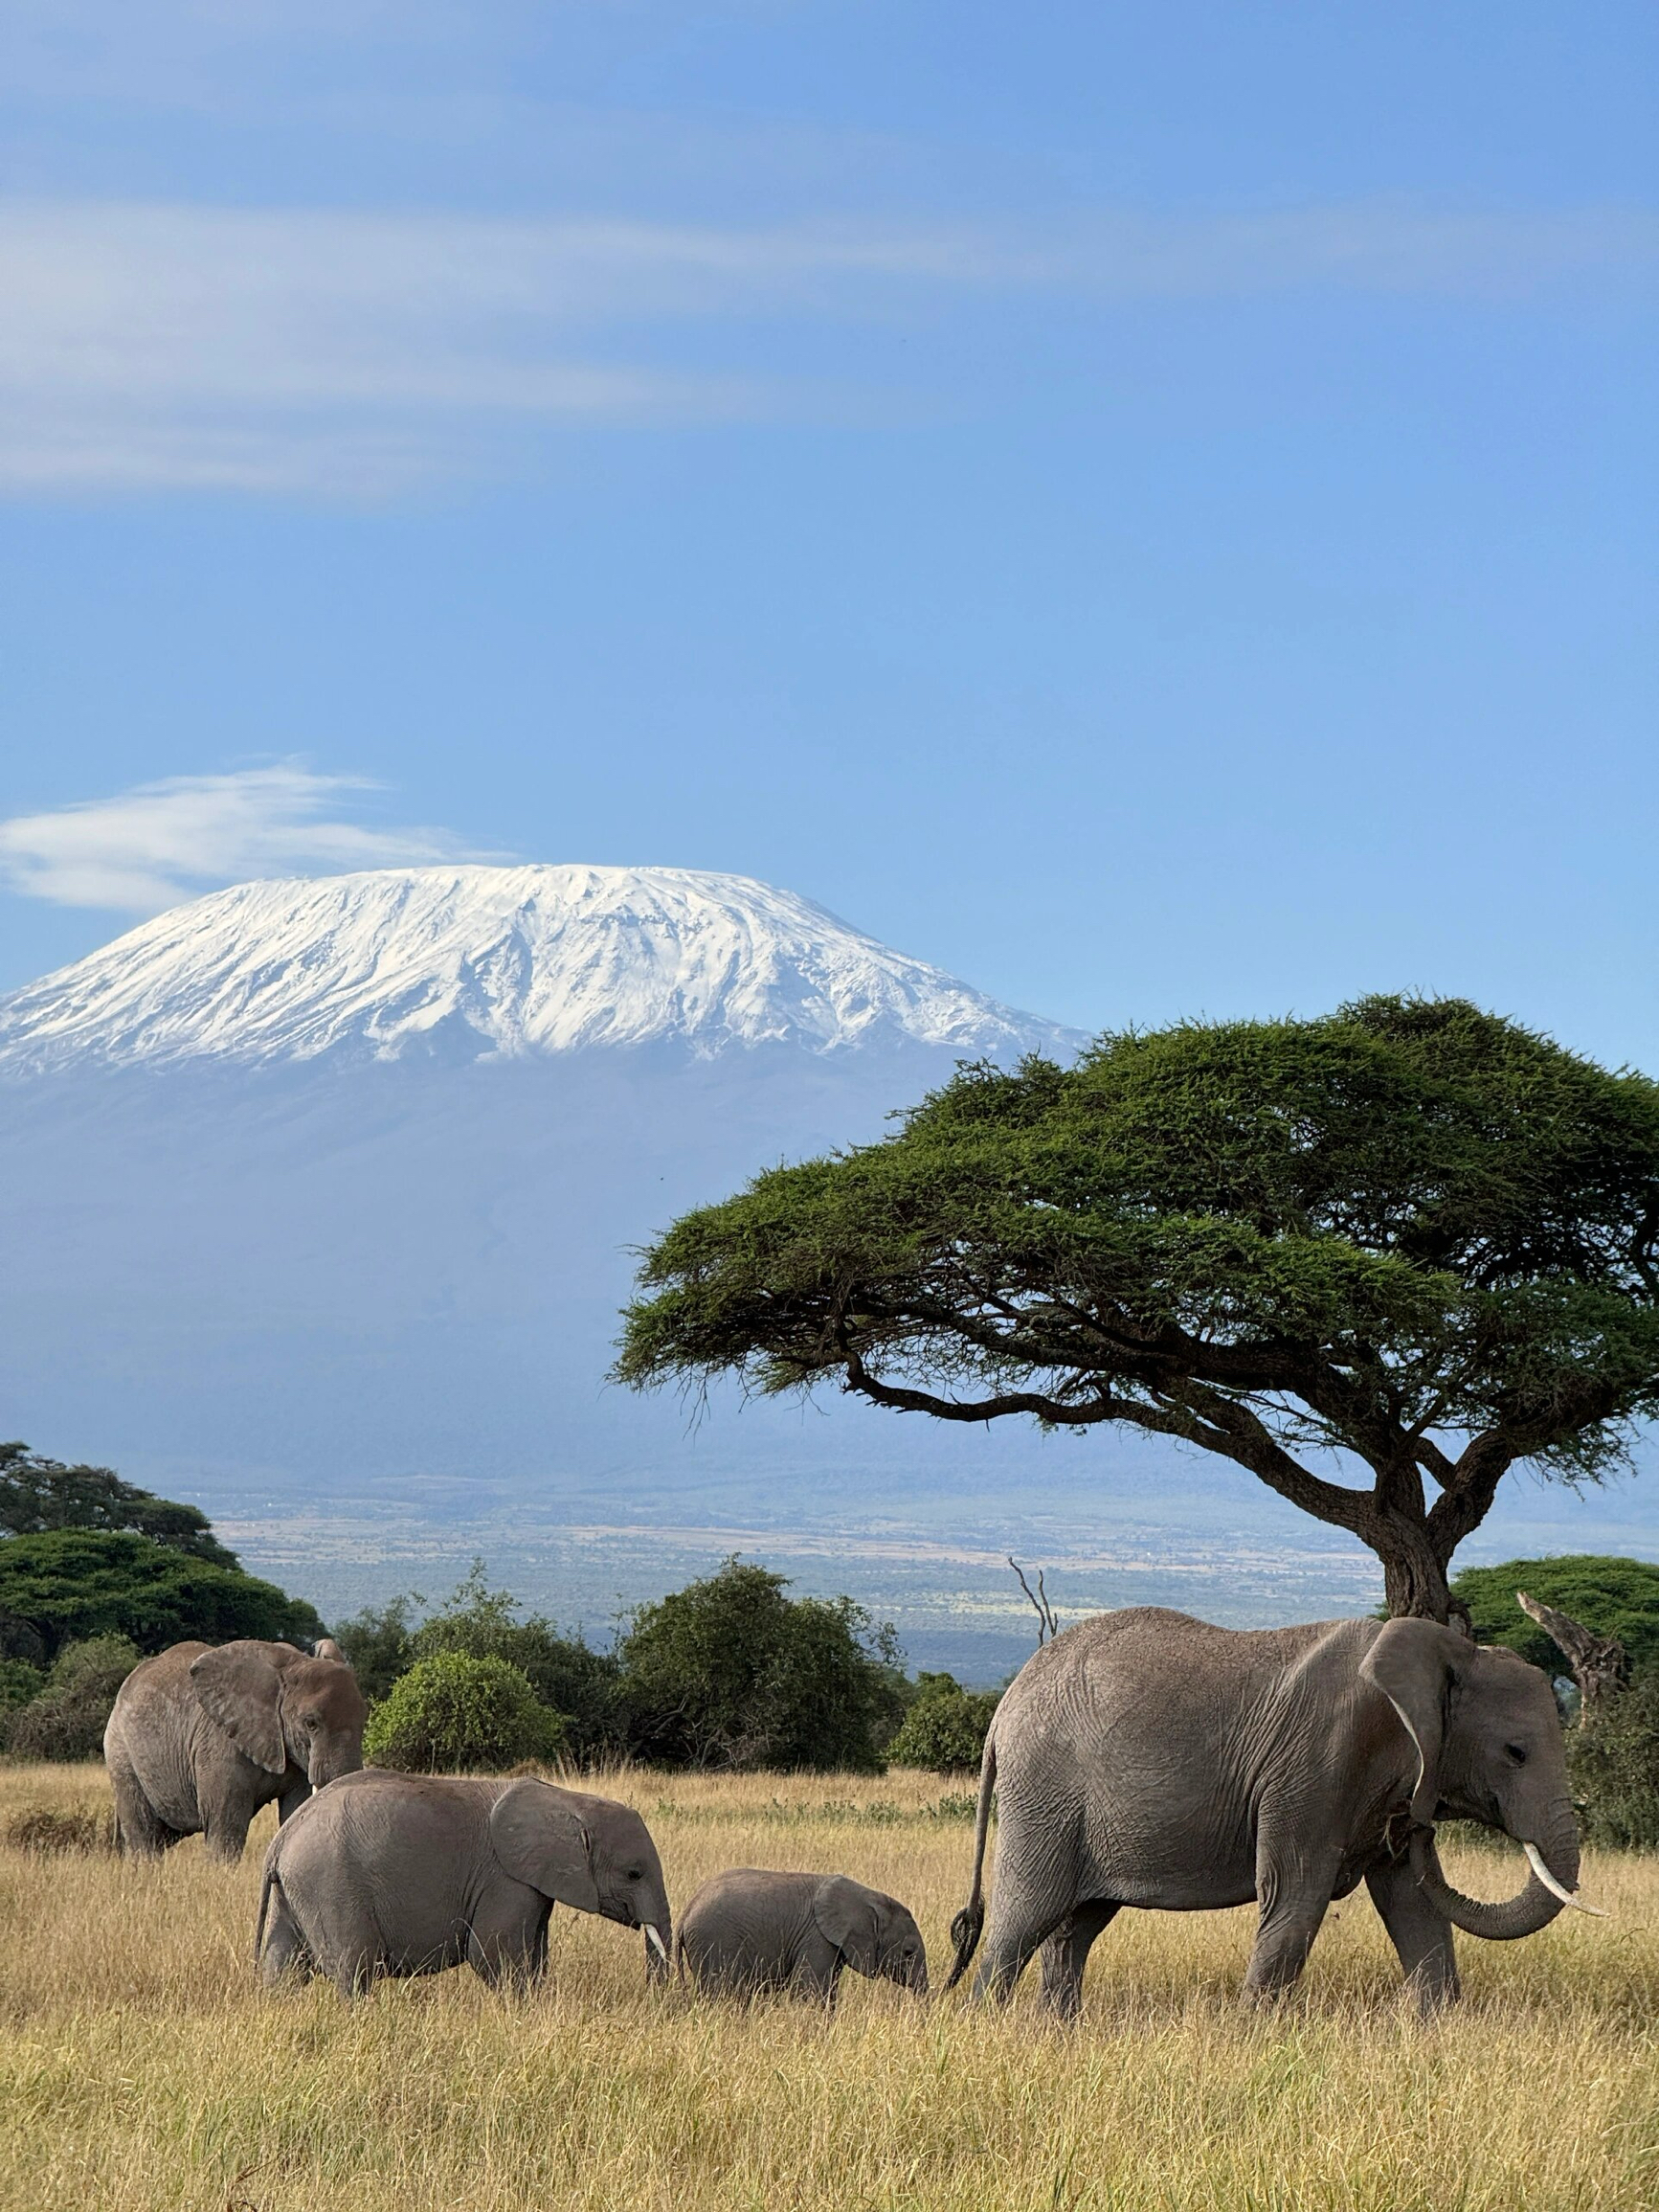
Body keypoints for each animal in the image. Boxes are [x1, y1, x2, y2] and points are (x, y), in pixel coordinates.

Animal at [104, 1636, 367, 1858]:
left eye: (364, 1721)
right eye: (310, 1723)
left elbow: (295, 1811)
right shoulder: (220, 1743)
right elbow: (225, 1823)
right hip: (121, 1752)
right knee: (144, 1836)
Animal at [257, 1770, 672, 1999]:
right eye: (633, 1874)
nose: (663, 2001)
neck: (569, 1801)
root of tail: (281, 1840)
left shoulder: (532, 1884)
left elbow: (535, 1954)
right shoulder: (504, 1879)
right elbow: (490, 1952)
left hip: (297, 1888)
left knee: (283, 1963)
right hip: (331, 1885)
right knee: (354, 1968)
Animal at [677, 1866, 937, 2008]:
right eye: (908, 1952)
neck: (869, 1898)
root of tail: (687, 1911)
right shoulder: (817, 1938)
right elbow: (809, 1992)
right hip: (714, 1943)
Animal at [946, 1610, 1601, 2025]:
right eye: (1515, 1753)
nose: (1420, 1823)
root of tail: (1003, 1711)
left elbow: (1412, 1905)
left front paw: (1437, 2035)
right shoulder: (1315, 1767)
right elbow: (1295, 1898)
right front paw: (1252, 2039)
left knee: (1074, 1928)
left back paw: (1057, 2034)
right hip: (1045, 1794)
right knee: (1021, 1922)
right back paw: (987, 2030)